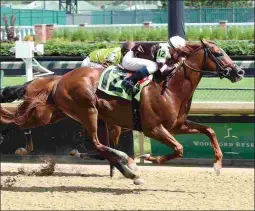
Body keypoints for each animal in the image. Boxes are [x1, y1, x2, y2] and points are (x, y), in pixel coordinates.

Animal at [50, 39, 244, 183]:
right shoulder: (153, 128)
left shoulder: (176, 125)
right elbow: (179, 148)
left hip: (106, 121)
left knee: (101, 147)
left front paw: (217, 165)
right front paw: (149, 158)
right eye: (218, 53)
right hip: (88, 112)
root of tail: (61, 79)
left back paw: (125, 169)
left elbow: (209, 130)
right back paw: (129, 165)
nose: (240, 72)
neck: (171, 88)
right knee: (97, 144)